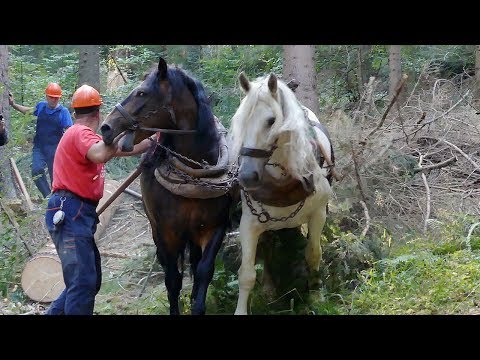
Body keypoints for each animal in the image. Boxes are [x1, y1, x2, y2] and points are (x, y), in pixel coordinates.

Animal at [101, 57, 236, 316]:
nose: (106, 127)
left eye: (141, 92)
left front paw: (197, 305)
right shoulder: (166, 233)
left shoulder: (214, 228)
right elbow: (173, 280)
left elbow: (204, 271)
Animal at [228, 73, 334, 316]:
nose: (247, 176)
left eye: (271, 120)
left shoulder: (318, 214)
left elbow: (313, 254)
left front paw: (316, 295)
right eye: (240, 121)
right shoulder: (249, 224)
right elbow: (246, 274)